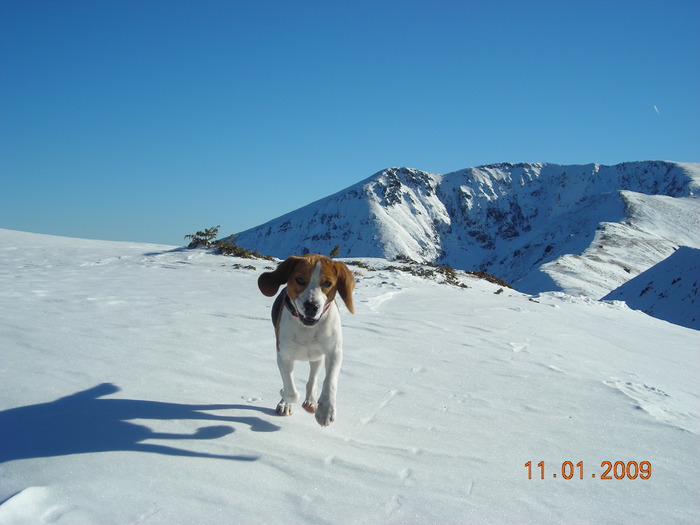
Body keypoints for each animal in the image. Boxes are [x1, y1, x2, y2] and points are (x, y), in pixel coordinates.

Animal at [258, 254, 356, 426]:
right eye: (299, 280)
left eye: (327, 283)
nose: (311, 306)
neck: (307, 328)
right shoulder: (284, 356)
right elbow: (291, 391)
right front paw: (284, 397)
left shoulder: (334, 352)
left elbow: (329, 382)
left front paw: (326, 410)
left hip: (317, 357)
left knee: (313, 379)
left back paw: (311, 401)